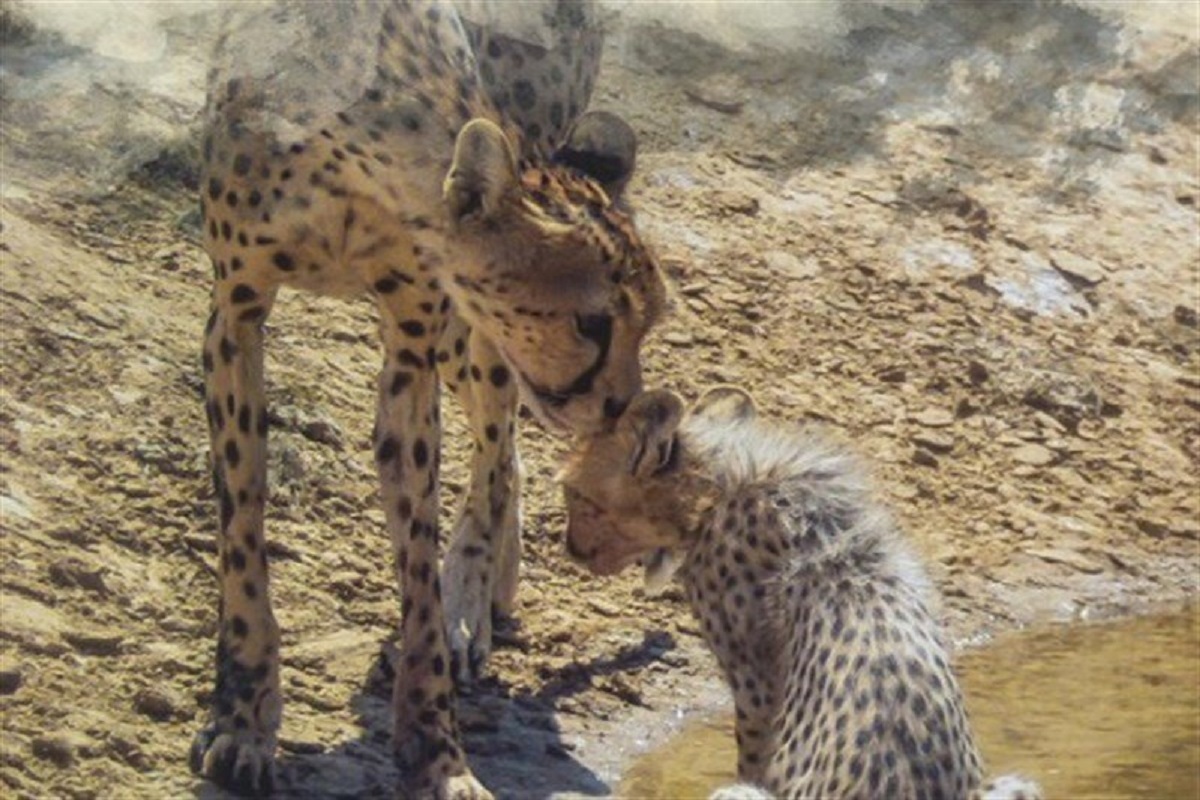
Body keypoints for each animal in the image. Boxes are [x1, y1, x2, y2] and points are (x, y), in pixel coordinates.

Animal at [193, 3, 672, 796]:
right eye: (592, 323)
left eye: (650, 322)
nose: (622, 409)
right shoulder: (235, 314)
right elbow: (243, 524)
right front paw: (243, 720)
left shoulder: (414, 346)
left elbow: (417, 553)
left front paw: (436, 750)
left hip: (470, 339)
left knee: (498, 447)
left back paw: (473, 601)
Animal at [561, 388, 1041, 800]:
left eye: (572, 490)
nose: (571, 549)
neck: (717, 488)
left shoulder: (754, 685)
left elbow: (754, 756)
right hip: (1019, 784)